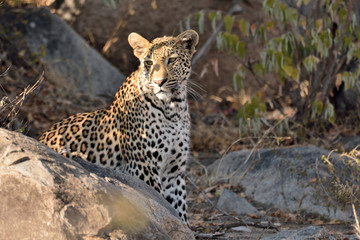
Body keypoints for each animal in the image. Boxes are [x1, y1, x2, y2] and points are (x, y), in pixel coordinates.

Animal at [39, 30, 200, 225]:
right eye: (148, 63)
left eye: (172, 60)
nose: (159, 82)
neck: (173, 107)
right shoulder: (143, 167)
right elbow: (159, 203)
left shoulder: (173, 173)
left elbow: (179, 210)